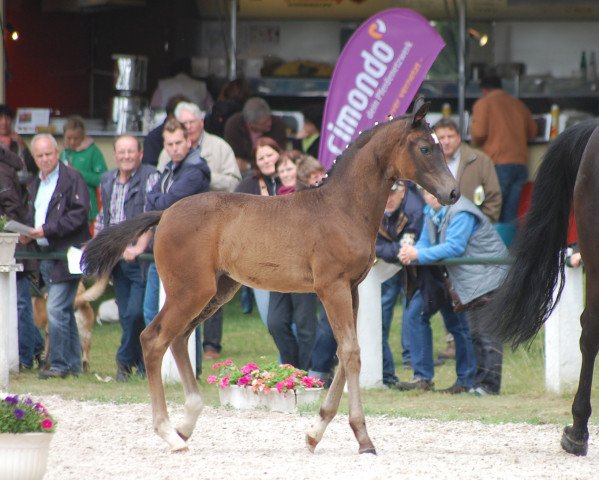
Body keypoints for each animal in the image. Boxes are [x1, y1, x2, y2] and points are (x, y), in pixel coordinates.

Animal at [81, 98, 460, 454]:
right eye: (425, 148)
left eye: (441, 145)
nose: (453, 192)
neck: (342, 208)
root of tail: (165, 212)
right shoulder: (332, 287)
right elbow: (351, 352)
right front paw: (363, 439)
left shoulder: (351, 288)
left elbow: (344, 352)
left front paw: (314, 432)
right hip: (191, 291)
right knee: (153, 339)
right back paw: (169, 433)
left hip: (217, 291)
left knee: (177, 339)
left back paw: (185, 425)